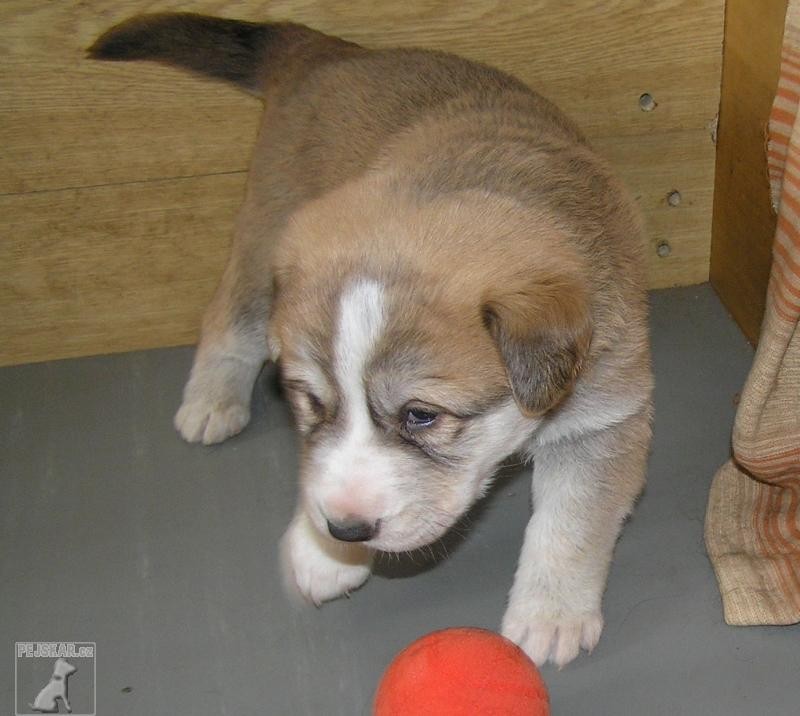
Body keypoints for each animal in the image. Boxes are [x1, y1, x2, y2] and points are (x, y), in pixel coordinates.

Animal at [90, 14, 652, 668]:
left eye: (421, 415)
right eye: (311, 401)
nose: (346, 531)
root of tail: (330, 53)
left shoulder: (602, 418)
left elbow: (570, 523)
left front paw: (551, 614)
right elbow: (321, 466)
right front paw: (320, 552)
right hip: (264, 233)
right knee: (227, 315)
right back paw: (211, 398)